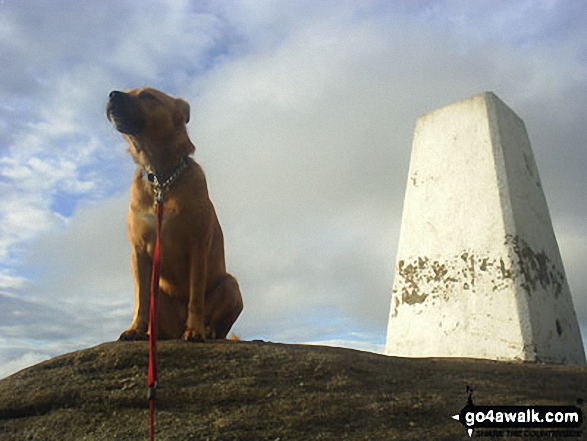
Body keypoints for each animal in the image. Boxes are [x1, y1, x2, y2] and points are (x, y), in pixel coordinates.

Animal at [107, 87, 242, 340]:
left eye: (147, 95)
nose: (112, 94)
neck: (162, 179)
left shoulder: (197, 244)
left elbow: (195, 296)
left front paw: (195, 330)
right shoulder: (138, 251)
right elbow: (140, 299)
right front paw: (135, 329)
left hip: (232, 286)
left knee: (218, 326)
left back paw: (206, 331)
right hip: (159, 295)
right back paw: (153, 333)